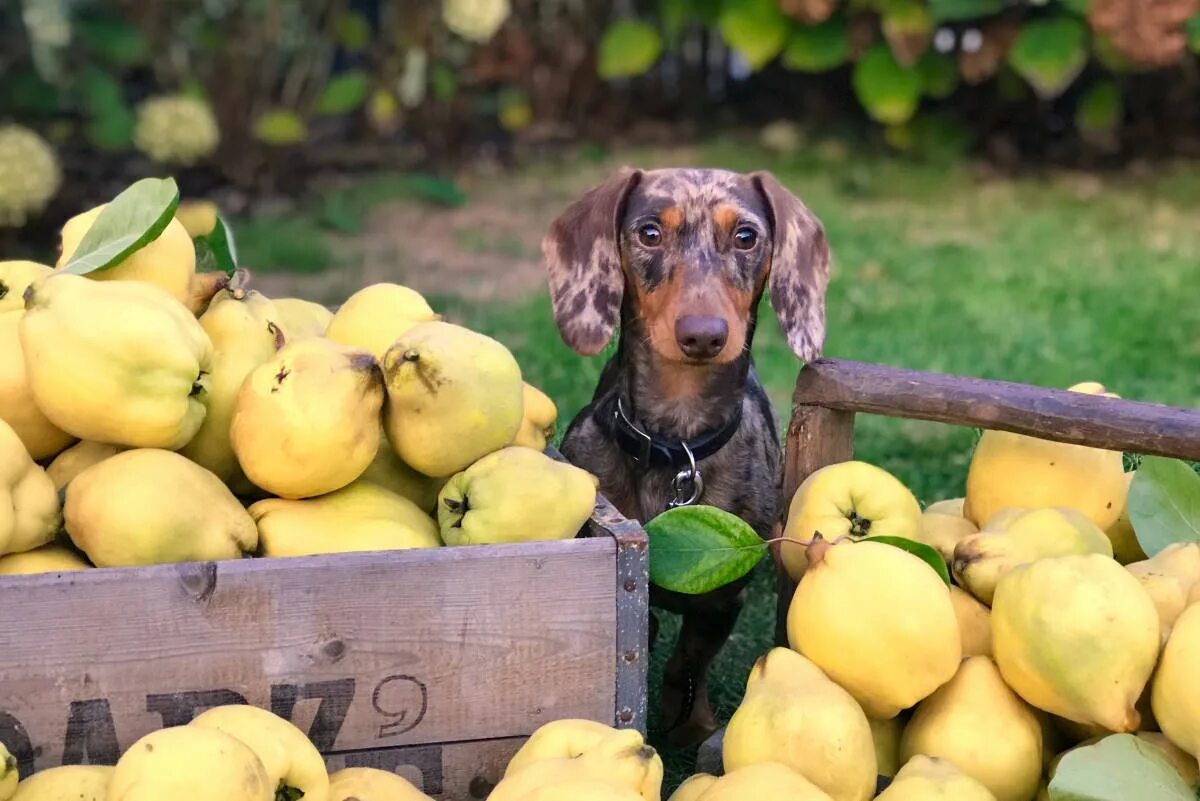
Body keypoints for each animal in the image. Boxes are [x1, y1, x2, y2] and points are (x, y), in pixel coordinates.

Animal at [542, 165, 830, 748]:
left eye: (746, 236)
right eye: (650, 232)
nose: (703, 335)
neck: (677, 447)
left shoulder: (722, 601)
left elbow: (688, 661)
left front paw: (688, 723)